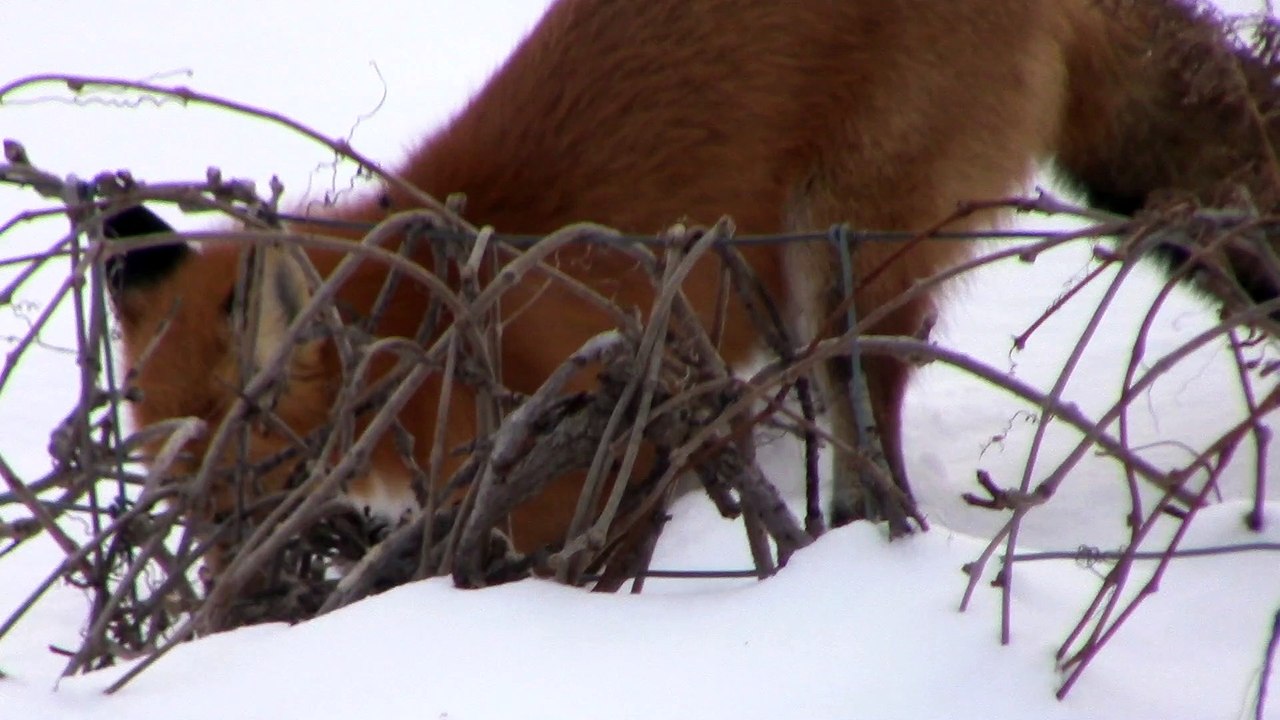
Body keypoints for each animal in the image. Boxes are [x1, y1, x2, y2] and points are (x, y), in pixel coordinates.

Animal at [105, 0, 1280, 564]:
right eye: (164, 473)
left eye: (231, 474)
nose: (211, 567)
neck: (436, 322)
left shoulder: (609, 462)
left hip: (838, 259)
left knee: (868, 443)